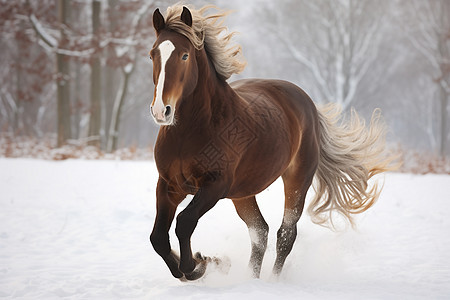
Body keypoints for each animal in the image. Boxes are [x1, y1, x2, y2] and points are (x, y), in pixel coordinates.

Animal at [148, 4, 394, 282]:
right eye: (152, 54)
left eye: (184, 55)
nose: (161, 111)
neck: (189, 133)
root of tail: (308, 104)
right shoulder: (169, 185)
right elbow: (158, 238)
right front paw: (202, 264)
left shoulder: (214, 186)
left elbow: (185, 222)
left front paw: (201, 265)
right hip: (243, 193)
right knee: (260, 232)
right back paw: (250, 278)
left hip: (297, 179)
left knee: (285, 234)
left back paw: (273, 280)